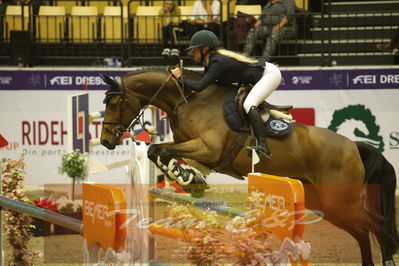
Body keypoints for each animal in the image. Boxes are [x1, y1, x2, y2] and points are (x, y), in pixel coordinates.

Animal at [100, 68, 399, 264]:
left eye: (114, 103)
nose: (105, 141)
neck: (189, 100)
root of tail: (354, 146)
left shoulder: (208, 148)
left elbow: (160, 150)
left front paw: (187, 176)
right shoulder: (192, 145)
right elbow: (159, 150)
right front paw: (190, 178)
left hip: (341, 200)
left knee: (378, 224)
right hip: (327, 204)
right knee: (362, 231)